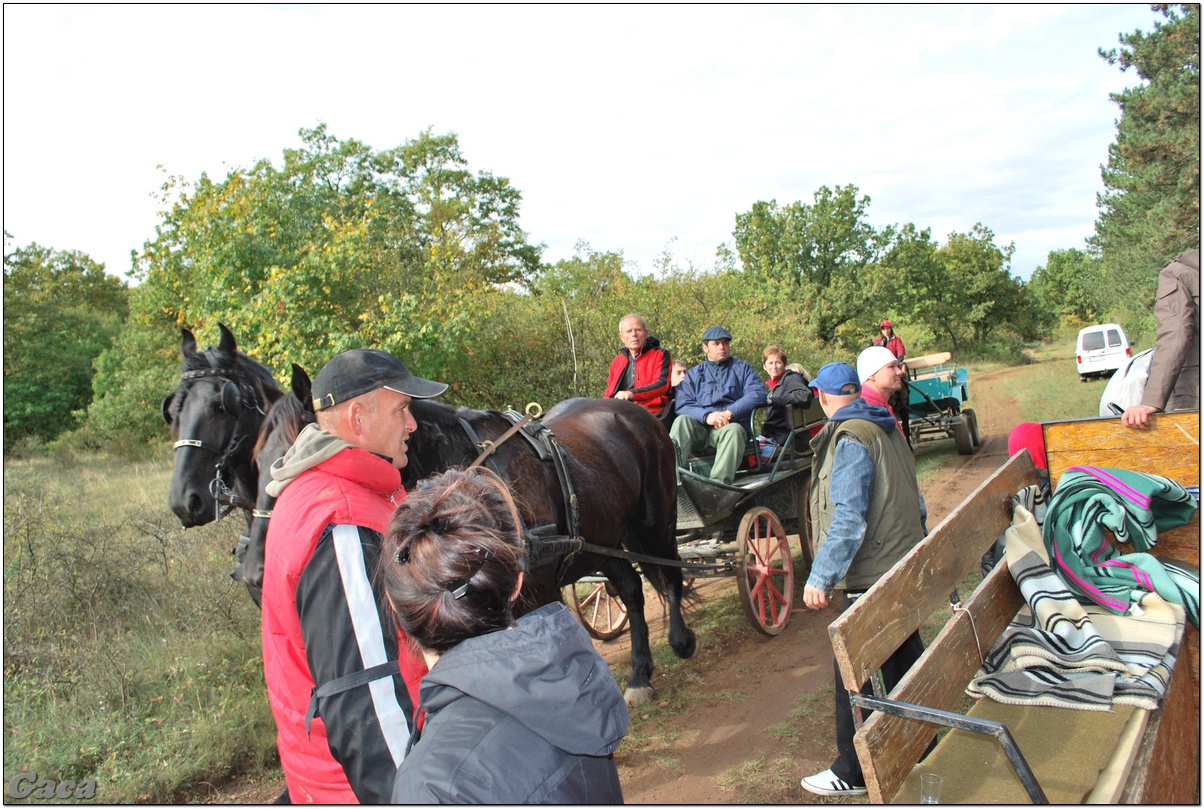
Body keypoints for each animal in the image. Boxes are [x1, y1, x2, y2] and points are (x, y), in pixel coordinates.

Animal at [402, 394, 698, 703]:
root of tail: (638, 413)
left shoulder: (538, 587)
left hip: (656, 520)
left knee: (671, 571)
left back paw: (681, 640)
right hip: (602, 539)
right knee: (630, 588)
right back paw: (639, 674)